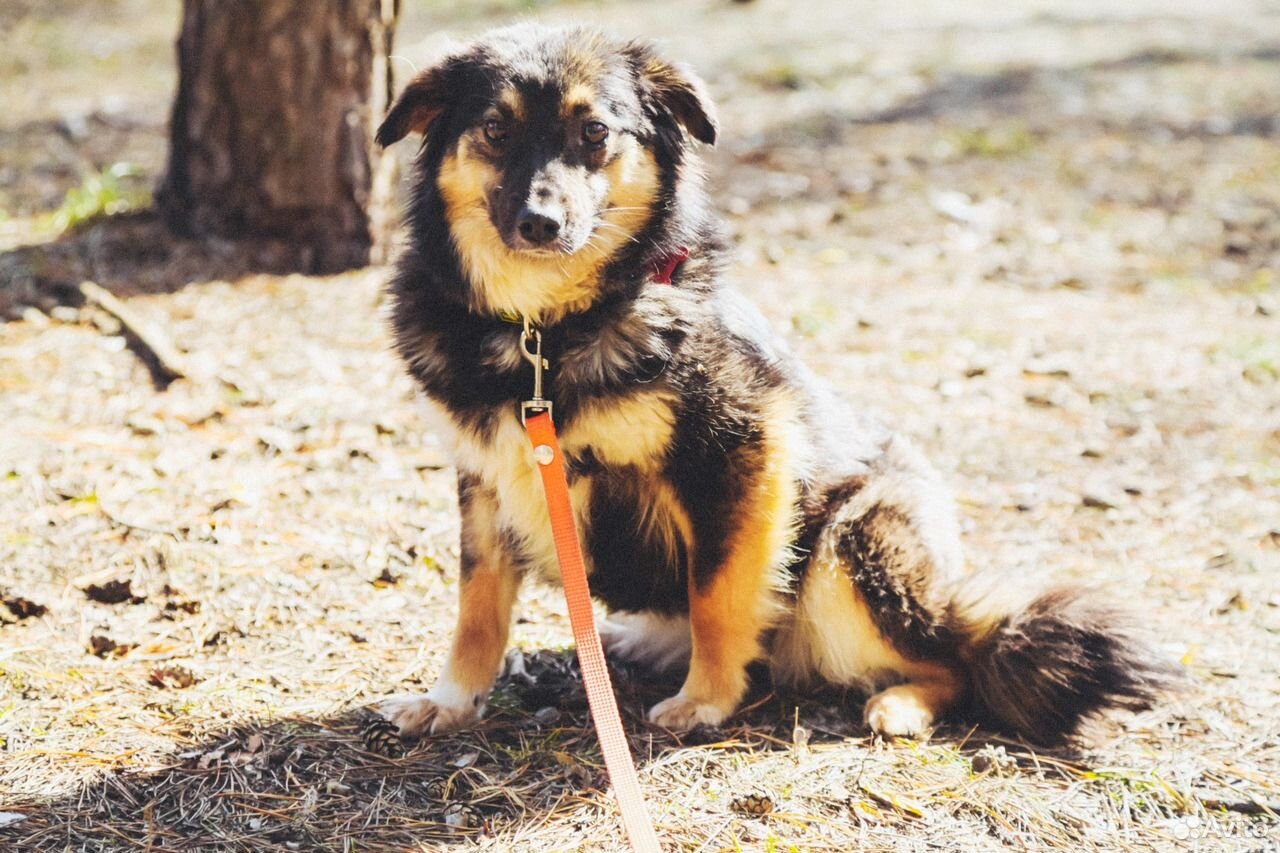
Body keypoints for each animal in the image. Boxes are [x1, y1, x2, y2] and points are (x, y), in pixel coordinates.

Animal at [371, 23, 1172, 742]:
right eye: (495, 130)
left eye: (595, 132)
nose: (540, 222)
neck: (543, 327)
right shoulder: (487, 477)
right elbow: (477, 606)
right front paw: (450, 699)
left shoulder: (744, 449)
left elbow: (719, 592)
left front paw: (706, 700)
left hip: (853, 546)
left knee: (955, 660)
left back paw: (901, 705)